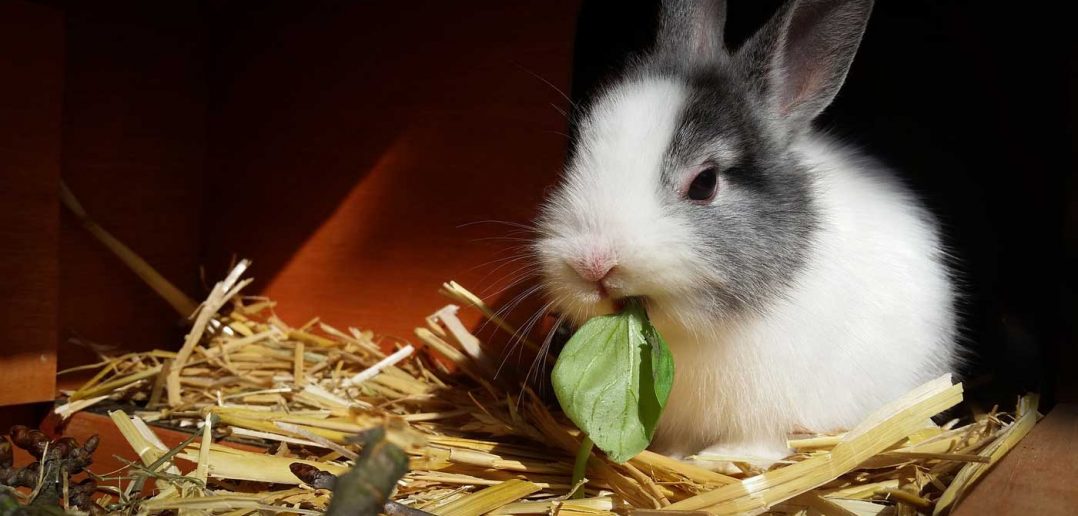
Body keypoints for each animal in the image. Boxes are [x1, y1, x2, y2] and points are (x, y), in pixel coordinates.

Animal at [534, 0, 959, 468]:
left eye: (704, 183)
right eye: (578, 153)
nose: (591, 264)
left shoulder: (768, 412)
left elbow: (758, 443)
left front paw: (717, 460)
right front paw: (677, 456)